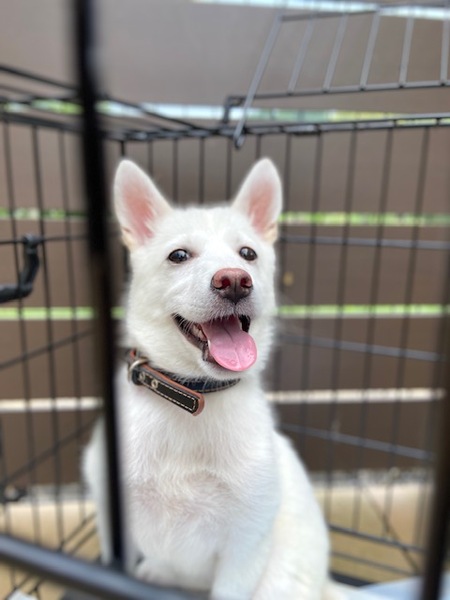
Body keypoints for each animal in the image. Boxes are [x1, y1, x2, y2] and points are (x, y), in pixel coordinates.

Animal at [83, 158, 342, 599]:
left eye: (248, 253)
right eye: (178, 255)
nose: (235, 280)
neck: (190, 397)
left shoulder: (245, 545)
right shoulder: (113, 520)